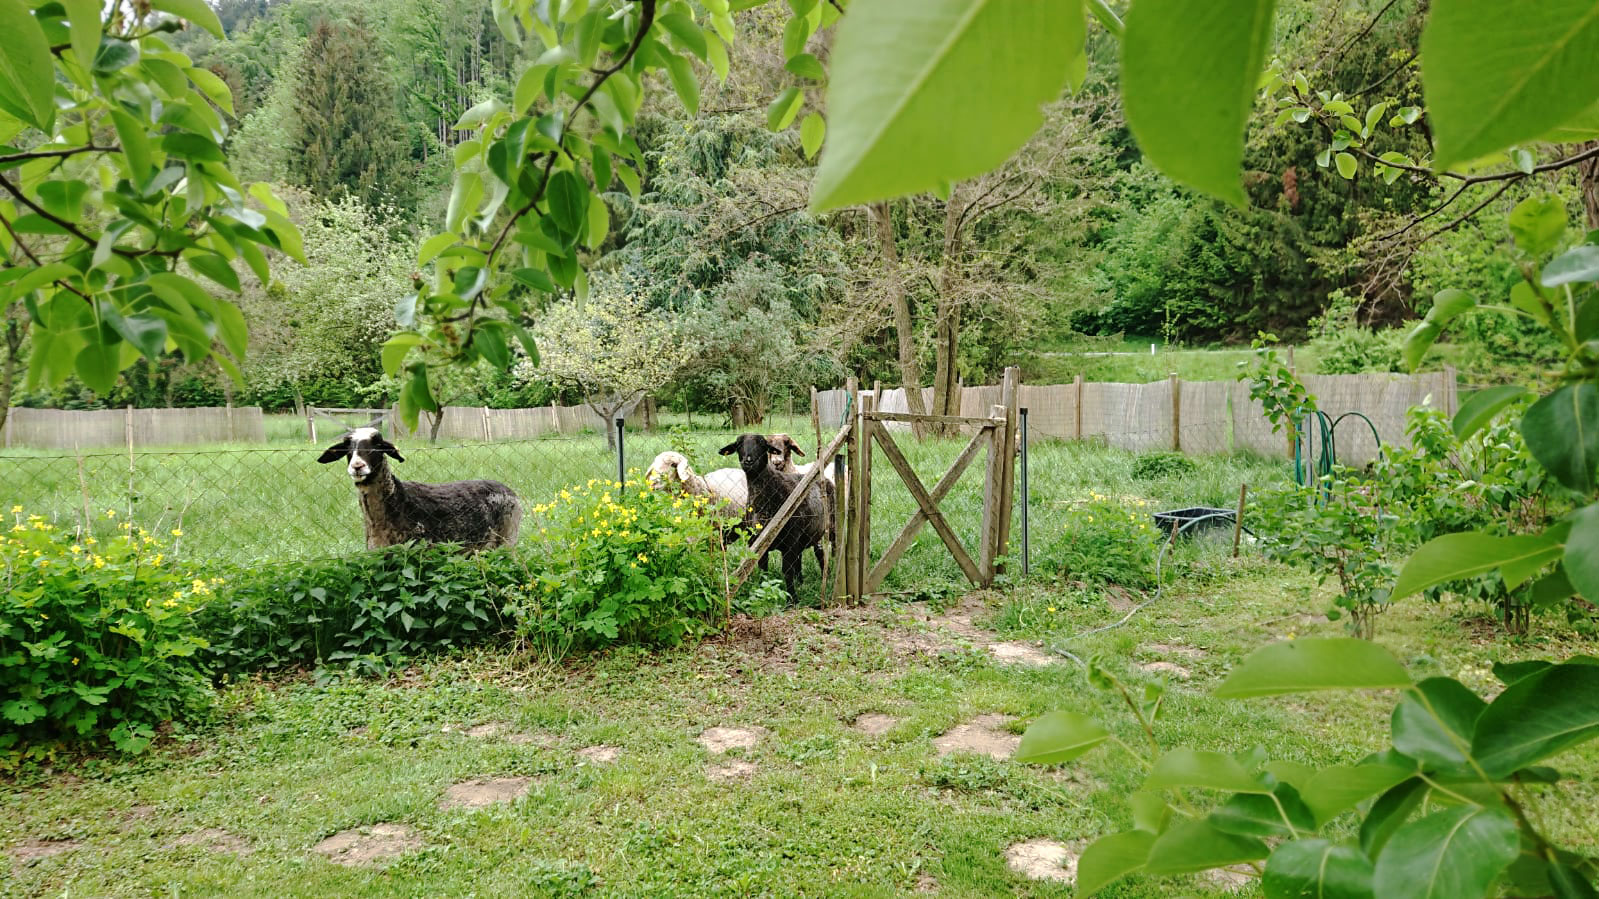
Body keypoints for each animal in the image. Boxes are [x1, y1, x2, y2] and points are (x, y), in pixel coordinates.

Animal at [719, 433, 834, 600]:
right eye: (738, 445)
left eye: (762, 445)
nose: (748, 461)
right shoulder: (757, 542)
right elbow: (763, 570)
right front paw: (763, 595)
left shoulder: (791, 539)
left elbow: (787, 571)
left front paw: (792, 599)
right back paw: (802, 581)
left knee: (824, 553)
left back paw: (829, 578)